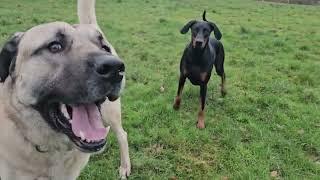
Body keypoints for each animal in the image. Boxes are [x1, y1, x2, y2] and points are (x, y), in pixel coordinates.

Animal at [0, 0, 131, 179]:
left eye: (104, 48)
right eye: (55, 46)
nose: (115, 68)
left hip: (110, 112)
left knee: (122, 135)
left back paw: (125, 166)